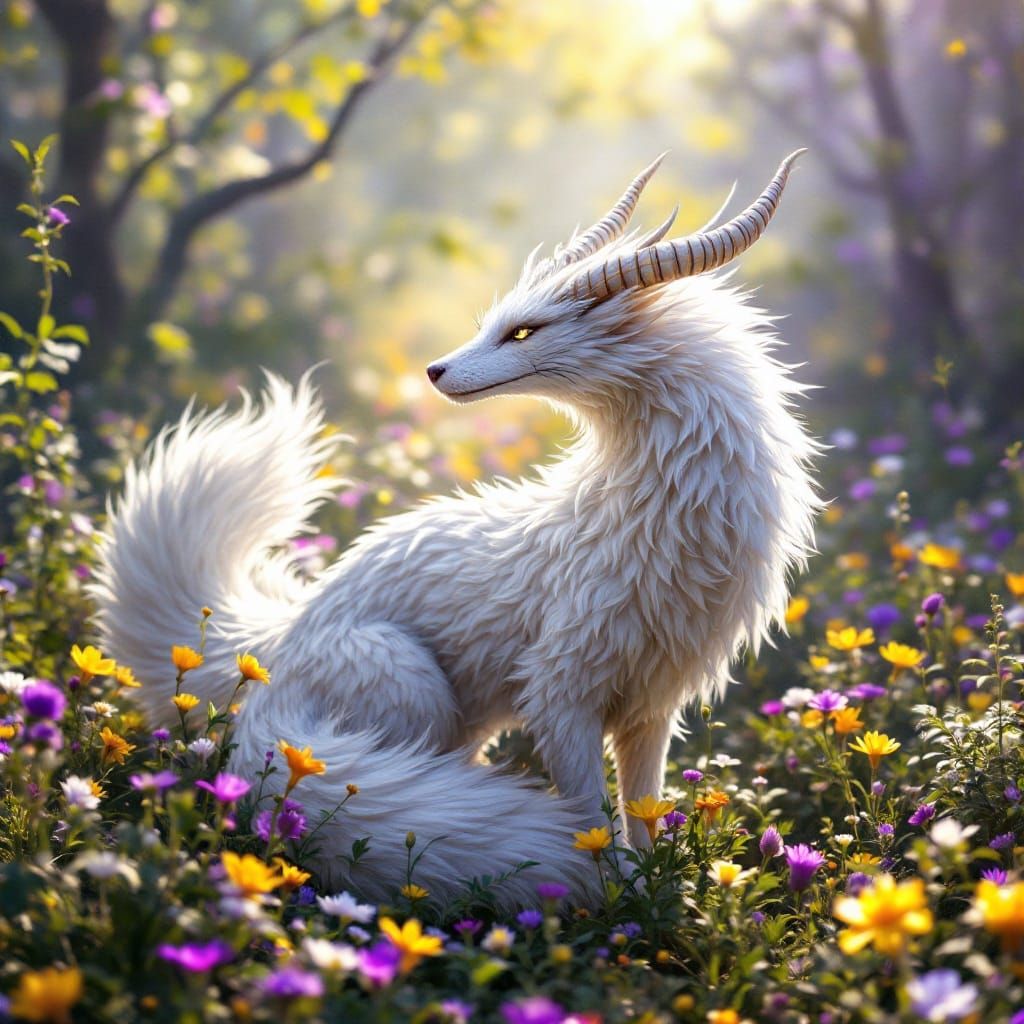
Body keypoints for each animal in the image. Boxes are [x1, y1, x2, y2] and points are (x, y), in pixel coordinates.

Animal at [91, 150, 819, 905]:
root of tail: (272, 645)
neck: (647, 518)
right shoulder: (559, 693)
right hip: (409, 683)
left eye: (523, 330)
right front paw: (615, 899)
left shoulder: (652, 703)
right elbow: (591, 820)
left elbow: (641, 812)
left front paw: (655, 900)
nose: (435, 370)